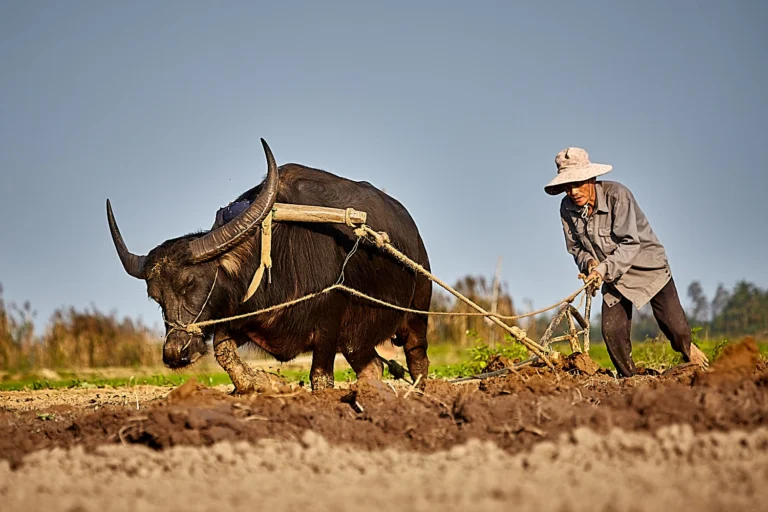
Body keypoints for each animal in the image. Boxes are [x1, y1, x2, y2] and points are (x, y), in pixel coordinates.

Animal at [107, 140, 431, 393]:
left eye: (190, 284)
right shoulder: (243, 318)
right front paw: (266, 382)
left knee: (417, 359)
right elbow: (224, 352)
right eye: (156, 297)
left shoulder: (328, 326)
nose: (176, 352)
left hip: (417, 314)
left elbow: (320, 377)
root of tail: (414, 232)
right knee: (372, 365)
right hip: (357, 339)